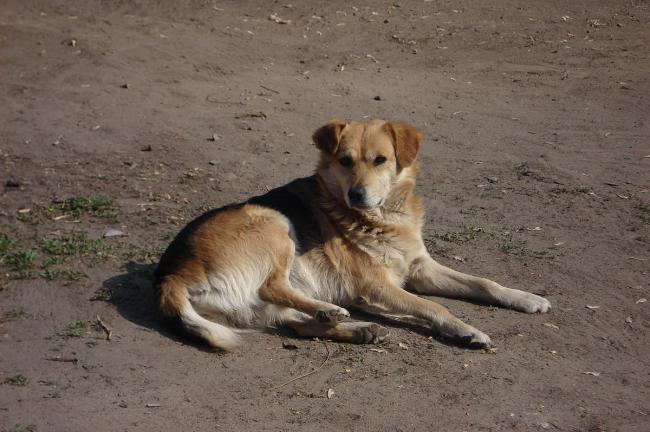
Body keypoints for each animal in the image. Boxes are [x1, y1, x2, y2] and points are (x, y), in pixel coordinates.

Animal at [152, 119, 548, 352]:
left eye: (380, 160)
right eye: (344, 161)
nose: (356, 195)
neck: (384, 217)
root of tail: (169, 275)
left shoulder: (420, 269)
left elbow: (484, 283)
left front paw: (526, 297)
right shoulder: (376, 285)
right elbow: (433, 306)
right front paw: (466, 329)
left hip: (260, 302)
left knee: (298, 326)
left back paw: (357, 328)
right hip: (274, 222)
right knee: (273, 286)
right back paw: (331, 310)